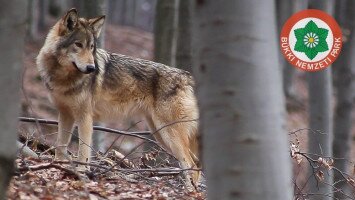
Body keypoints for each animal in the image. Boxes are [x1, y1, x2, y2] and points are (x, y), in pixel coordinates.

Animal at [37, 8, 202, 189]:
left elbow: (83, 153)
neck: (63, 77)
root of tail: (188, 77)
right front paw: (56, 168)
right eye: (78, 45)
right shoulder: (65, 114)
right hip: (160, 133)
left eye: (91, 47)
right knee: (196, 163)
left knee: (191, 165)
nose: (92, 68)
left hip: (169, 134)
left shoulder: (85, 118)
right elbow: (60, 147)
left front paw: (81, 174)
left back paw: (190, 191)